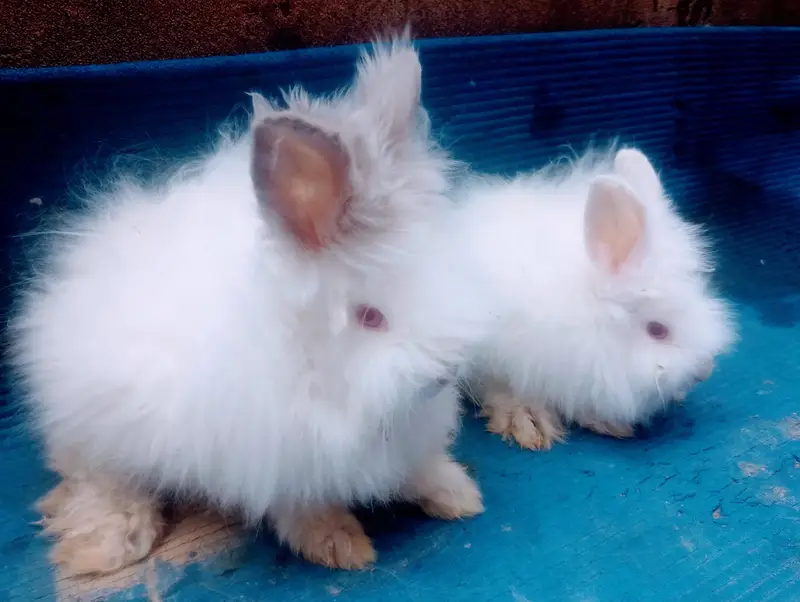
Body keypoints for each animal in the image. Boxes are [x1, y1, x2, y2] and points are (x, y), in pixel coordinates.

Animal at [7, 32, 498, 576]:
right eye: (370, 317)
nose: (447, 372)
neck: (317, 372)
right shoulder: (275, 455)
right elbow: (302, 506)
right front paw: (338, 545)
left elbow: (419, 469)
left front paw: (457, 494)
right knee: (95, 477)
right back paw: (109, 544)